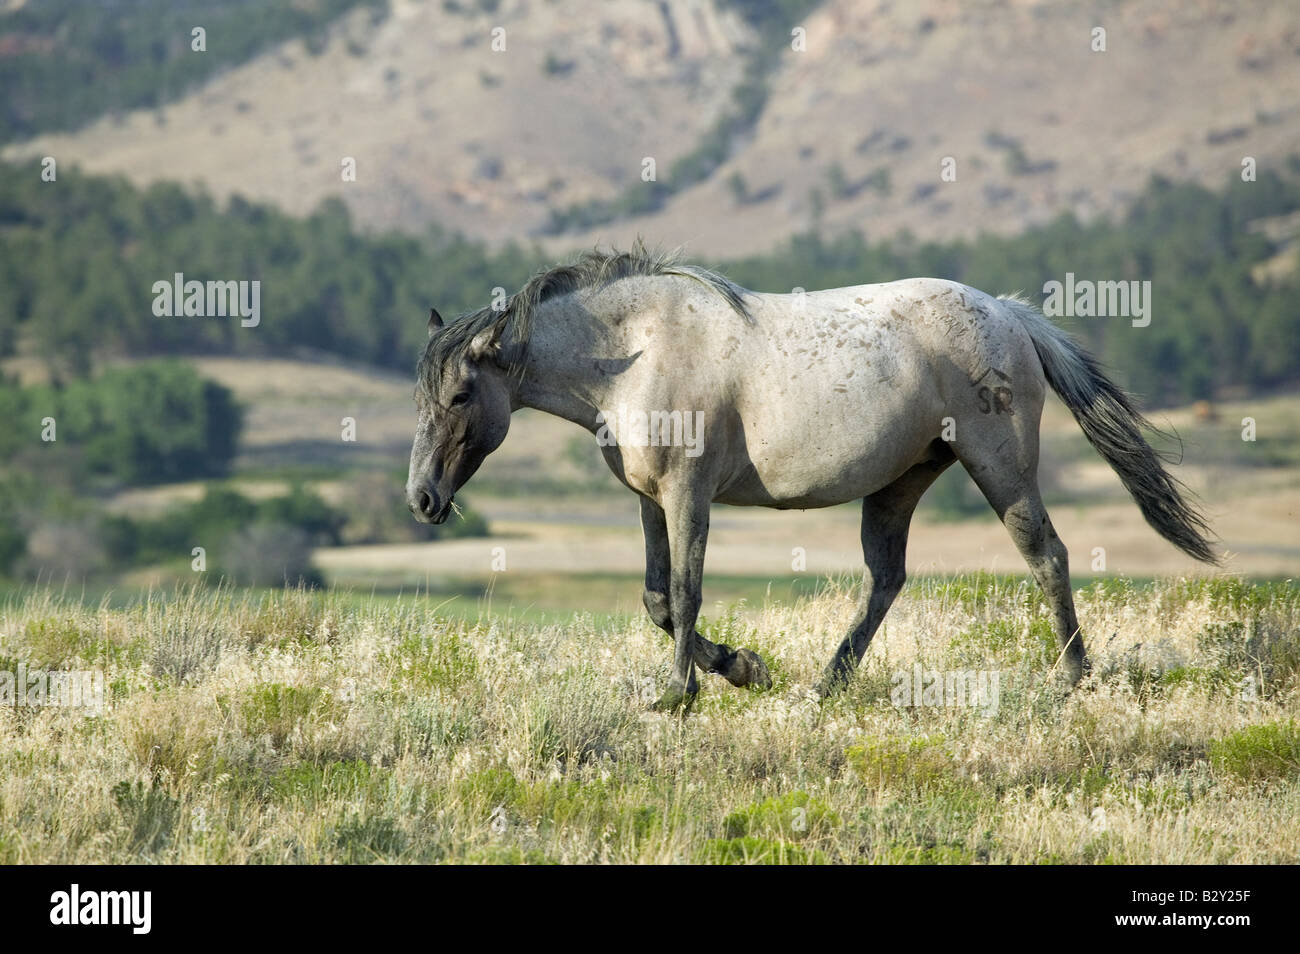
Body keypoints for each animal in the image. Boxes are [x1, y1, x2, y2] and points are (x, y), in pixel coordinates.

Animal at [406, 245, 1217, 712]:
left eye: (459, 396)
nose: (422, 499)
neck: (636, 349)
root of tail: (1012, 315)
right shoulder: (650, 500)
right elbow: (657, 599)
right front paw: (744, 668)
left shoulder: (688, 495)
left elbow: (685, 592)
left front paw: (681, 693)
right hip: (899, 484)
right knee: (886, 578)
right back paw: (829, 682)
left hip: (1000, 468)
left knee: (1046, 554)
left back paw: (1074, 679)